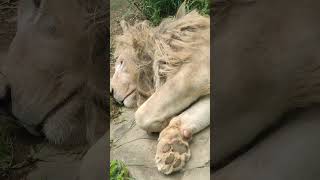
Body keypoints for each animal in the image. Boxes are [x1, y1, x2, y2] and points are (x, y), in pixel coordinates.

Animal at [110, 4, 210, 175]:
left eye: (121, 62)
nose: (110, 92)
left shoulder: (197, 69)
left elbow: (142, 115)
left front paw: (163, 124)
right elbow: (192, 115)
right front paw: (173, 146)